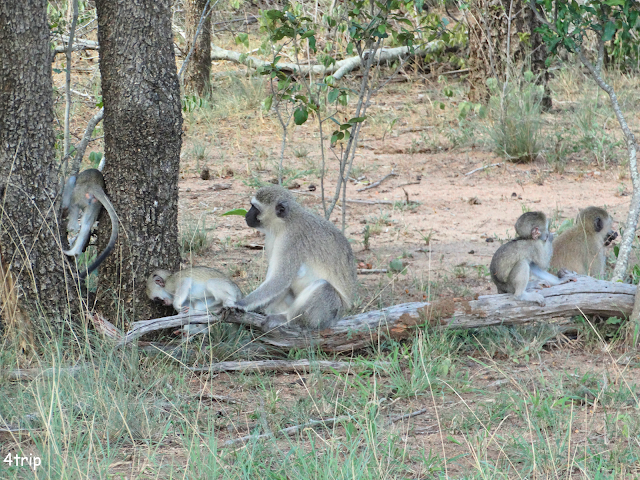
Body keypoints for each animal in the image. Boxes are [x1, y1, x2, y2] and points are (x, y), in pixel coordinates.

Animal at [231, 186, 360, 332]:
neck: (286, 222)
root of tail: (336, 320)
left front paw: (241, 303)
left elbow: (280, 278)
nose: (246, 216)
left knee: (324, 288)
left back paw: (287, 319)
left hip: (330, 314)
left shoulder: (291, 239)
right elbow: (279, 282)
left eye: (255, 207)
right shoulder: (271, 239)